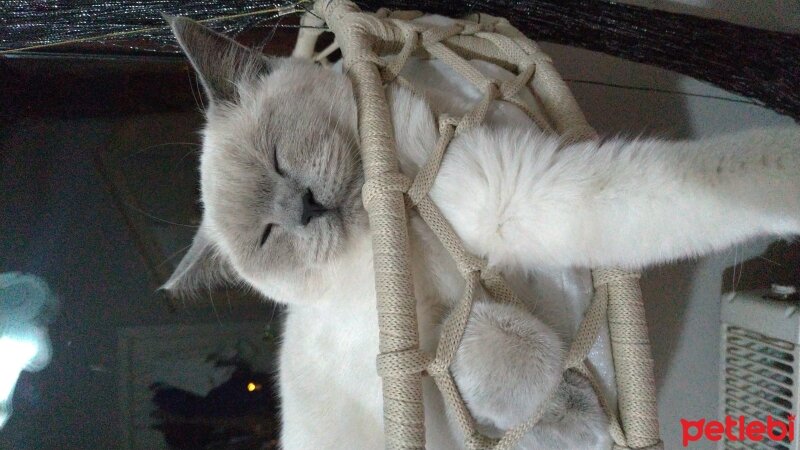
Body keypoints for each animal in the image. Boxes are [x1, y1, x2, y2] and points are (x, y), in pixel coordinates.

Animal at [161, 15, 800, 448]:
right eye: (267, 237)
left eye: (275, 157)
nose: (303, 208)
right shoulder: (411, 354)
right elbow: (485, 344)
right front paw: (580, 414)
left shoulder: (511, 190)